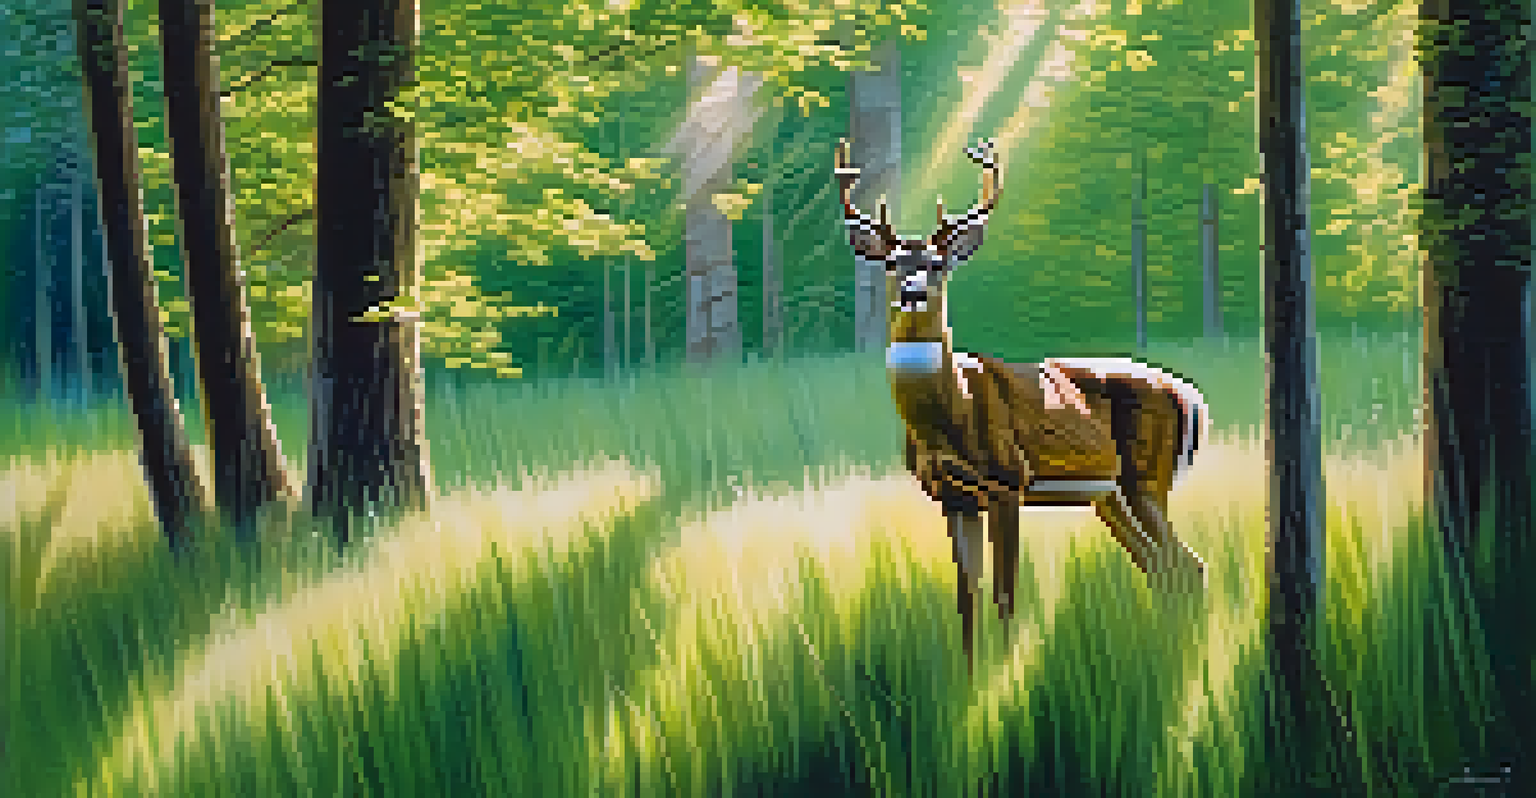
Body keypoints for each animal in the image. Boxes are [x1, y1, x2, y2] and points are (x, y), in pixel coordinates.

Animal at [835, 138, 1210, 674]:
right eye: (892, 262)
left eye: (938, 264)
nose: (912, 293)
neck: (951, 415)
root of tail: (1191, 396)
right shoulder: (953, 496)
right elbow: (966, 597)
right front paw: (969, 676)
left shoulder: (1009, 480)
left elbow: (1005, 594)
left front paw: (1006, 673)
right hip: (1109, 495)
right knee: (1161, 568)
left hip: (1146, 477)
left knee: (1189, 566)